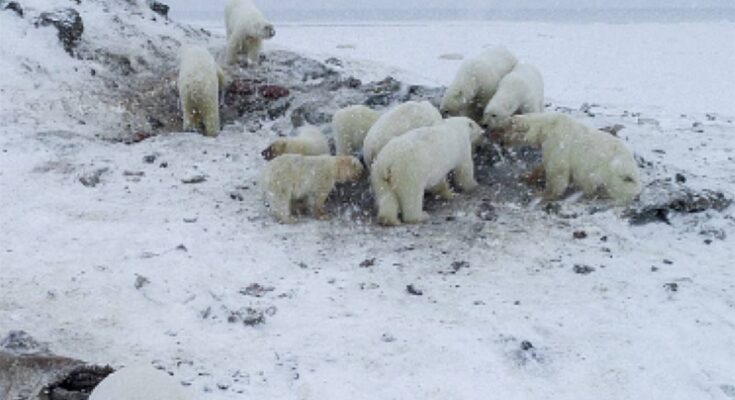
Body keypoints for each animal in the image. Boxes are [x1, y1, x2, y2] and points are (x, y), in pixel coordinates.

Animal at [504, 113, 640, 205]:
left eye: (507, 127)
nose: (501, 141)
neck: (549, 126)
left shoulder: (558, 142)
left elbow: (557, 171)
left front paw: (544, 193)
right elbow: (543, 165)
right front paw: (526, 176)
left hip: (614, 175)